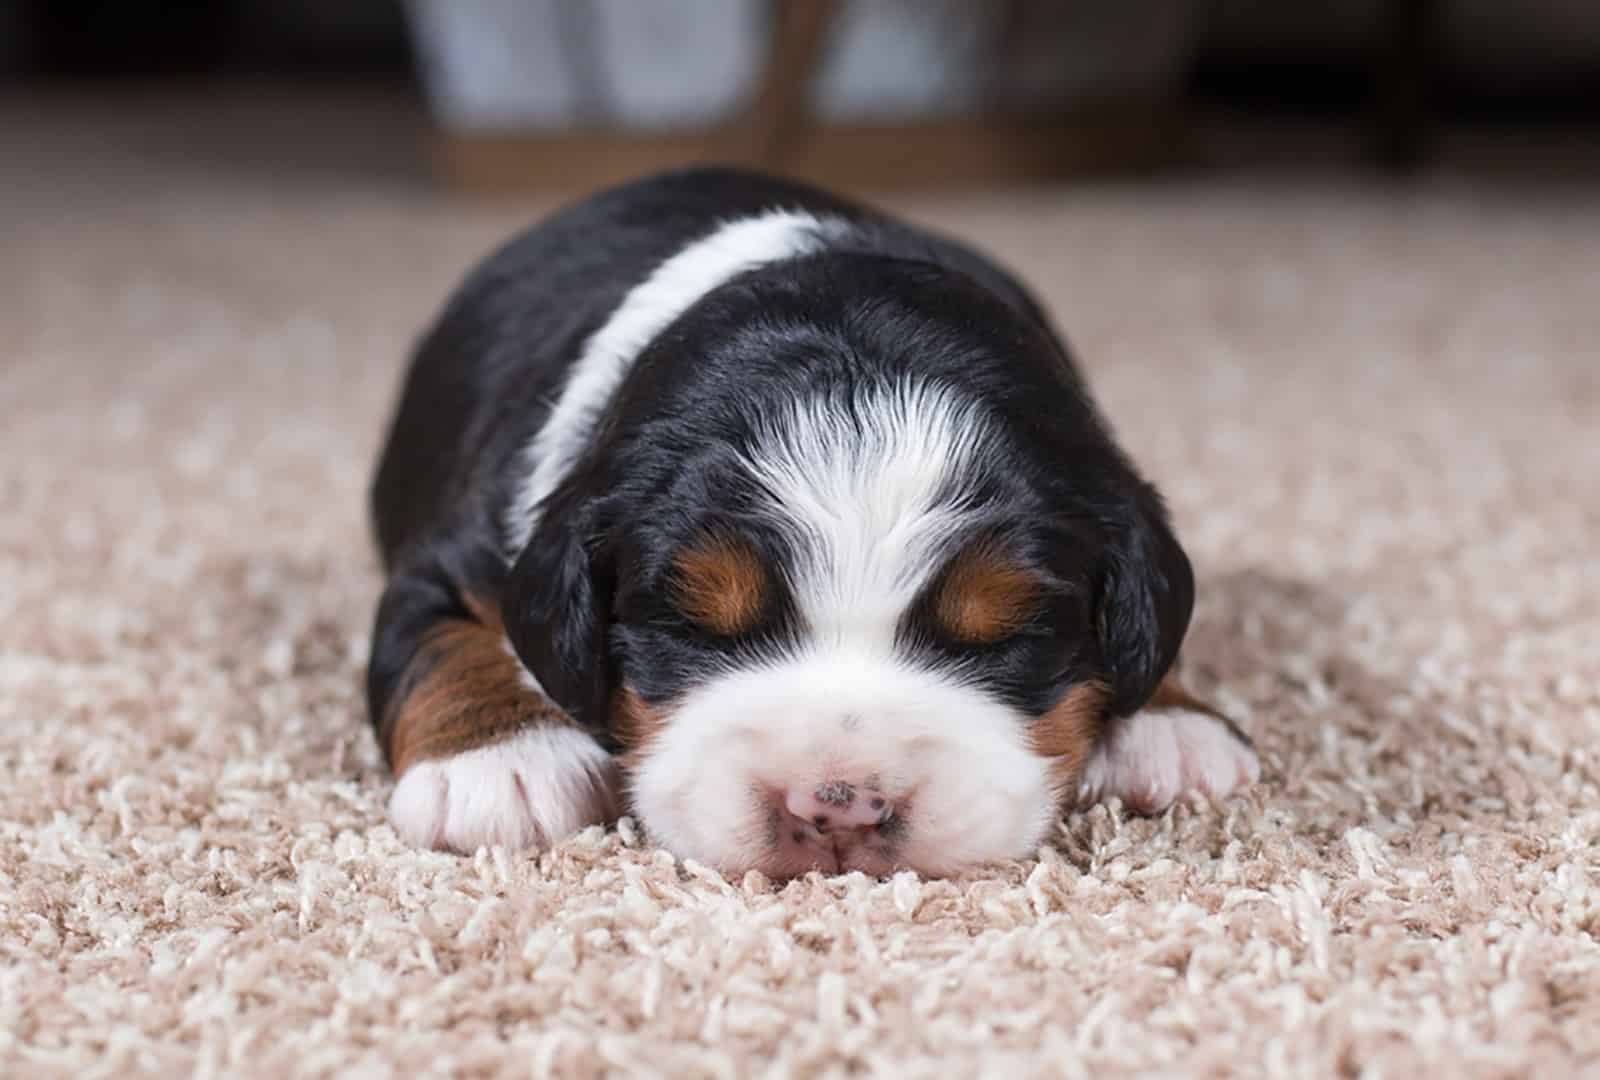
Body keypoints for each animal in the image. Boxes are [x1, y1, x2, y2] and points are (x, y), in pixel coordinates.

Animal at [368, 168, 1254, 876]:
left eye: (1012, 632)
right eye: (694, 625)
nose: (837, 803)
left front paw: (1174, 723)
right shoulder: (459, 556)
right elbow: (441, 638)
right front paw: (501, 763)